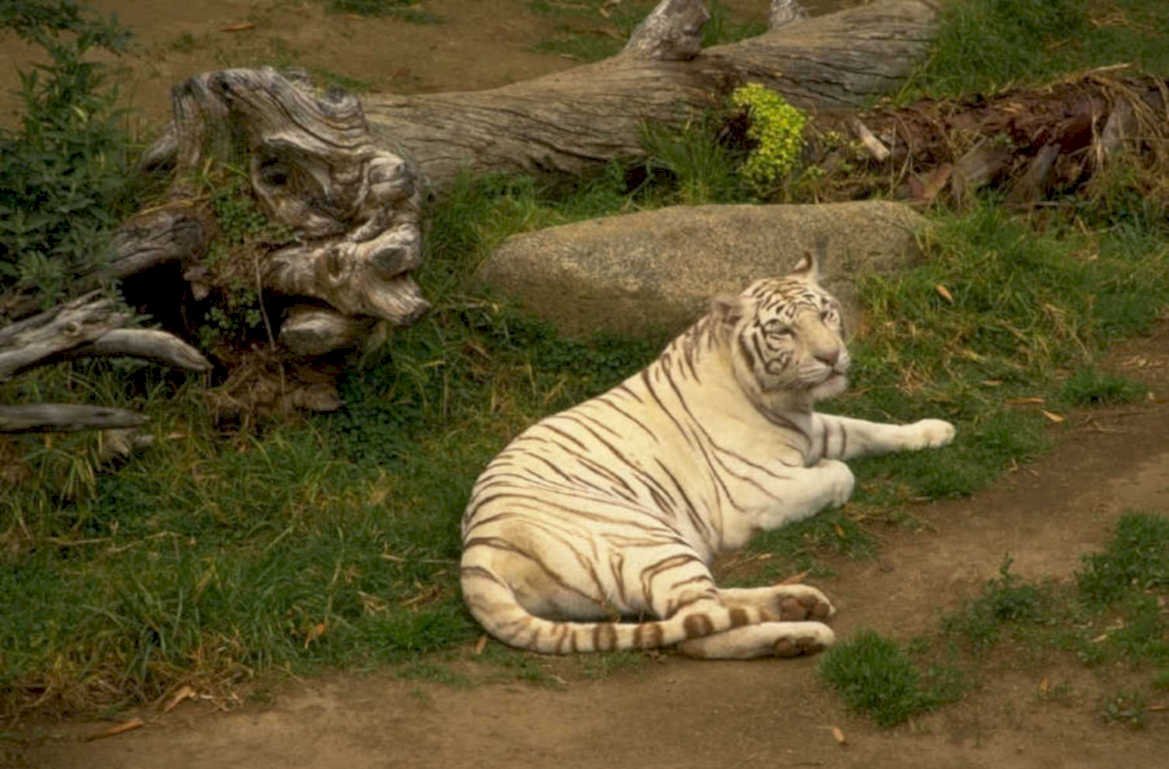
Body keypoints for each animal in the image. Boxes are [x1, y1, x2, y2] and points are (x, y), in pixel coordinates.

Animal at [460, 254, 955, 659]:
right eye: (782, 330)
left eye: (825, 312)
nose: (832, 357)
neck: (786, 400)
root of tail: (476, 557)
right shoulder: (759, 492)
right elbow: (842, 473)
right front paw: (838, 470)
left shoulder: (813, 428)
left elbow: (867, 430)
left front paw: (936, 430)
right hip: (651, 542)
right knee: (697, 630)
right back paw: (799, 634)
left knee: (701, 610)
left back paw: (795, 602)